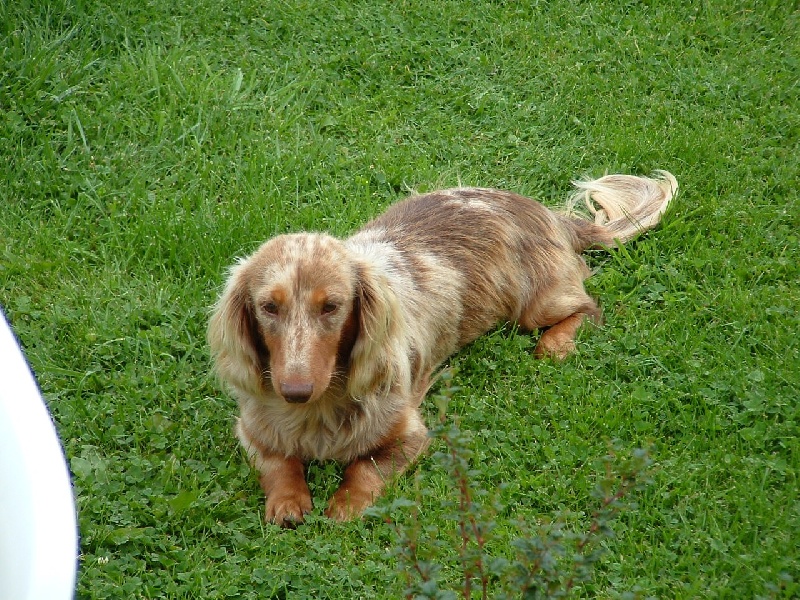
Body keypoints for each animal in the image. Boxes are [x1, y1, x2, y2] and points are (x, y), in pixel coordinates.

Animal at [206, 170, 676, 524]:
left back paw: (556, 344)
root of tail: (545, 212)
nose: (295, 391)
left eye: (332, 307)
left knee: (586, 307)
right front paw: (287, 501)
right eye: (268, 307)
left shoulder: (409, 435)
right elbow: (279, 463)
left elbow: (364, 468)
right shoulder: (251, 429)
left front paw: (344, 506)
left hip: (535, 306)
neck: (318, 412)